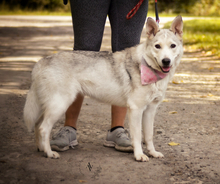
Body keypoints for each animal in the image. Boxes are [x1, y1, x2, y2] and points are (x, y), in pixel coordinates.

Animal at [23, 16, 184, 162]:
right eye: (157, 46)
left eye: (172, 46)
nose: (166, 61)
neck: (148, 67)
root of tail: (42, 61)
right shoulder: (136, 110)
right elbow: (138, 137)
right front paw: (139, 155)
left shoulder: (150, 110)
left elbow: (149, 136)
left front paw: (153, 153)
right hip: (60, 105)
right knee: (43, 128)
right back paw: (50, 153)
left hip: (49, 107)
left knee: (37, 126)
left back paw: (42, 149)